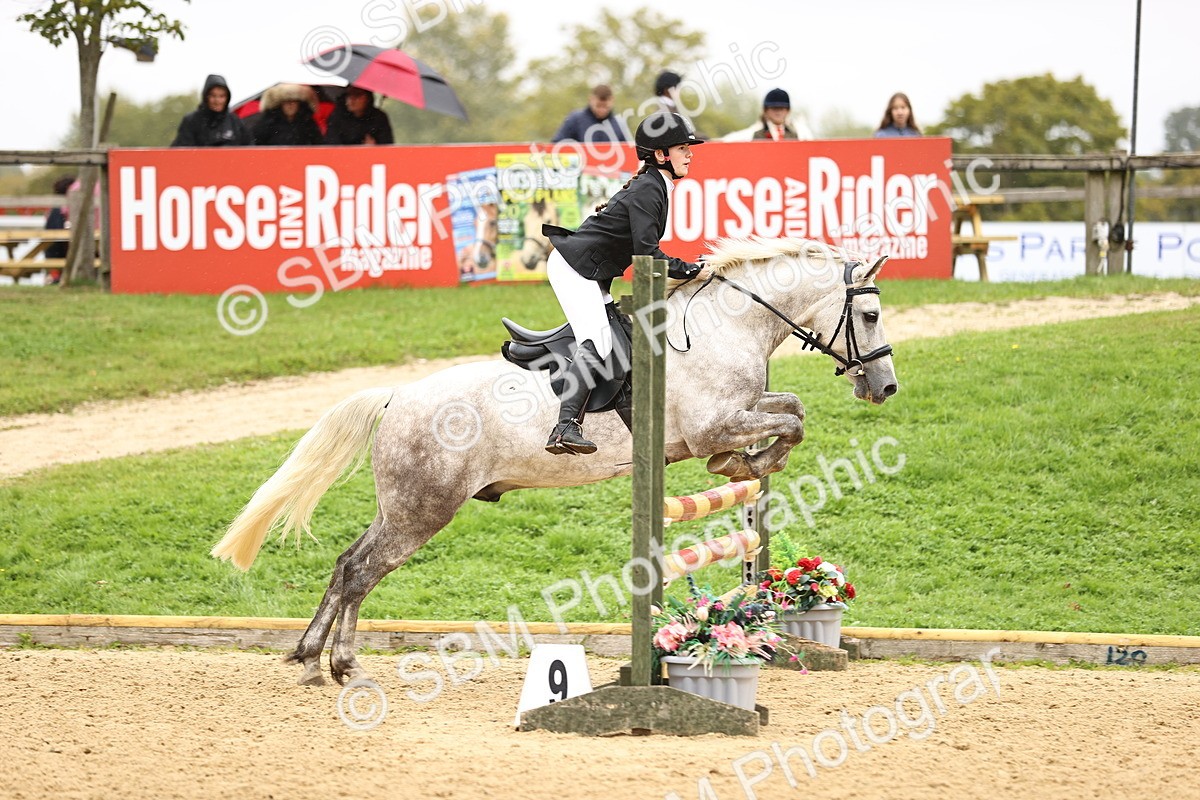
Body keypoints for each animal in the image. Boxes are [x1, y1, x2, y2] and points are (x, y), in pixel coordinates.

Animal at [211, 236, 898, 686]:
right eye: (868, 314)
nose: (884, 387)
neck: (722, 328)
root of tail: (397, 396)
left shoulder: (735, 413)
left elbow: (792, 409)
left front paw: (746, 465)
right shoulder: (713, 424)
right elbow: (788, 423)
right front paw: (743, 465)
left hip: (404, 508)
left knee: (346, 563)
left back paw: (308, 658)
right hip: (422, 510)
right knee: (360, 571)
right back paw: (344, 666)